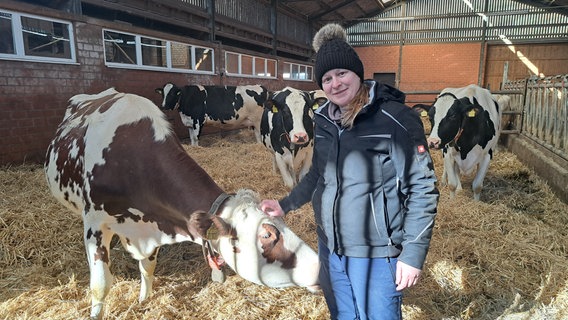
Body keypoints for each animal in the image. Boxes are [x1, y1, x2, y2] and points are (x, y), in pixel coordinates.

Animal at [44, 87, 320, 320]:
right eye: (266, 235)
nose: (320, 268)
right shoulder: (96, 224)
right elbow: (100, 285)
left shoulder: (154, 220)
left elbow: (148, 267)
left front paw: (144, 299)